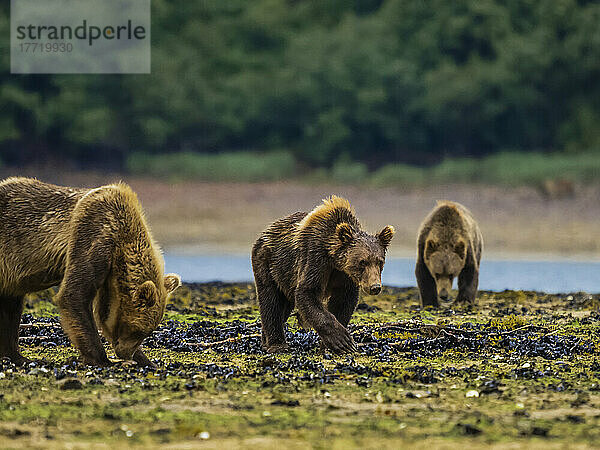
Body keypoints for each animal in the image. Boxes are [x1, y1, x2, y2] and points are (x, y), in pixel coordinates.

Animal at [0, 176, 180, 366]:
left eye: (146, 333)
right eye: (136, 330)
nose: (125, 353)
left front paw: (146, 360)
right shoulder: (94, 231)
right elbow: (75, 293)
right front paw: (102, 359)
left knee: (11, 305)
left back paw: (17, 356)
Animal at [252, 195, 396, 354]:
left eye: (380, 261)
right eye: (362, 262)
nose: (375, 287)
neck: (333, 258)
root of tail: (266, 232)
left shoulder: (344, 275)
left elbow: (344, 301)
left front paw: (330, 346)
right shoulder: (315, 257)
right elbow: (307, 292)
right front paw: (343, 341)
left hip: (285, 277)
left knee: (284, 305)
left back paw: (266, 341)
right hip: (268, 263)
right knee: (271, 301)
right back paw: (277, 345)